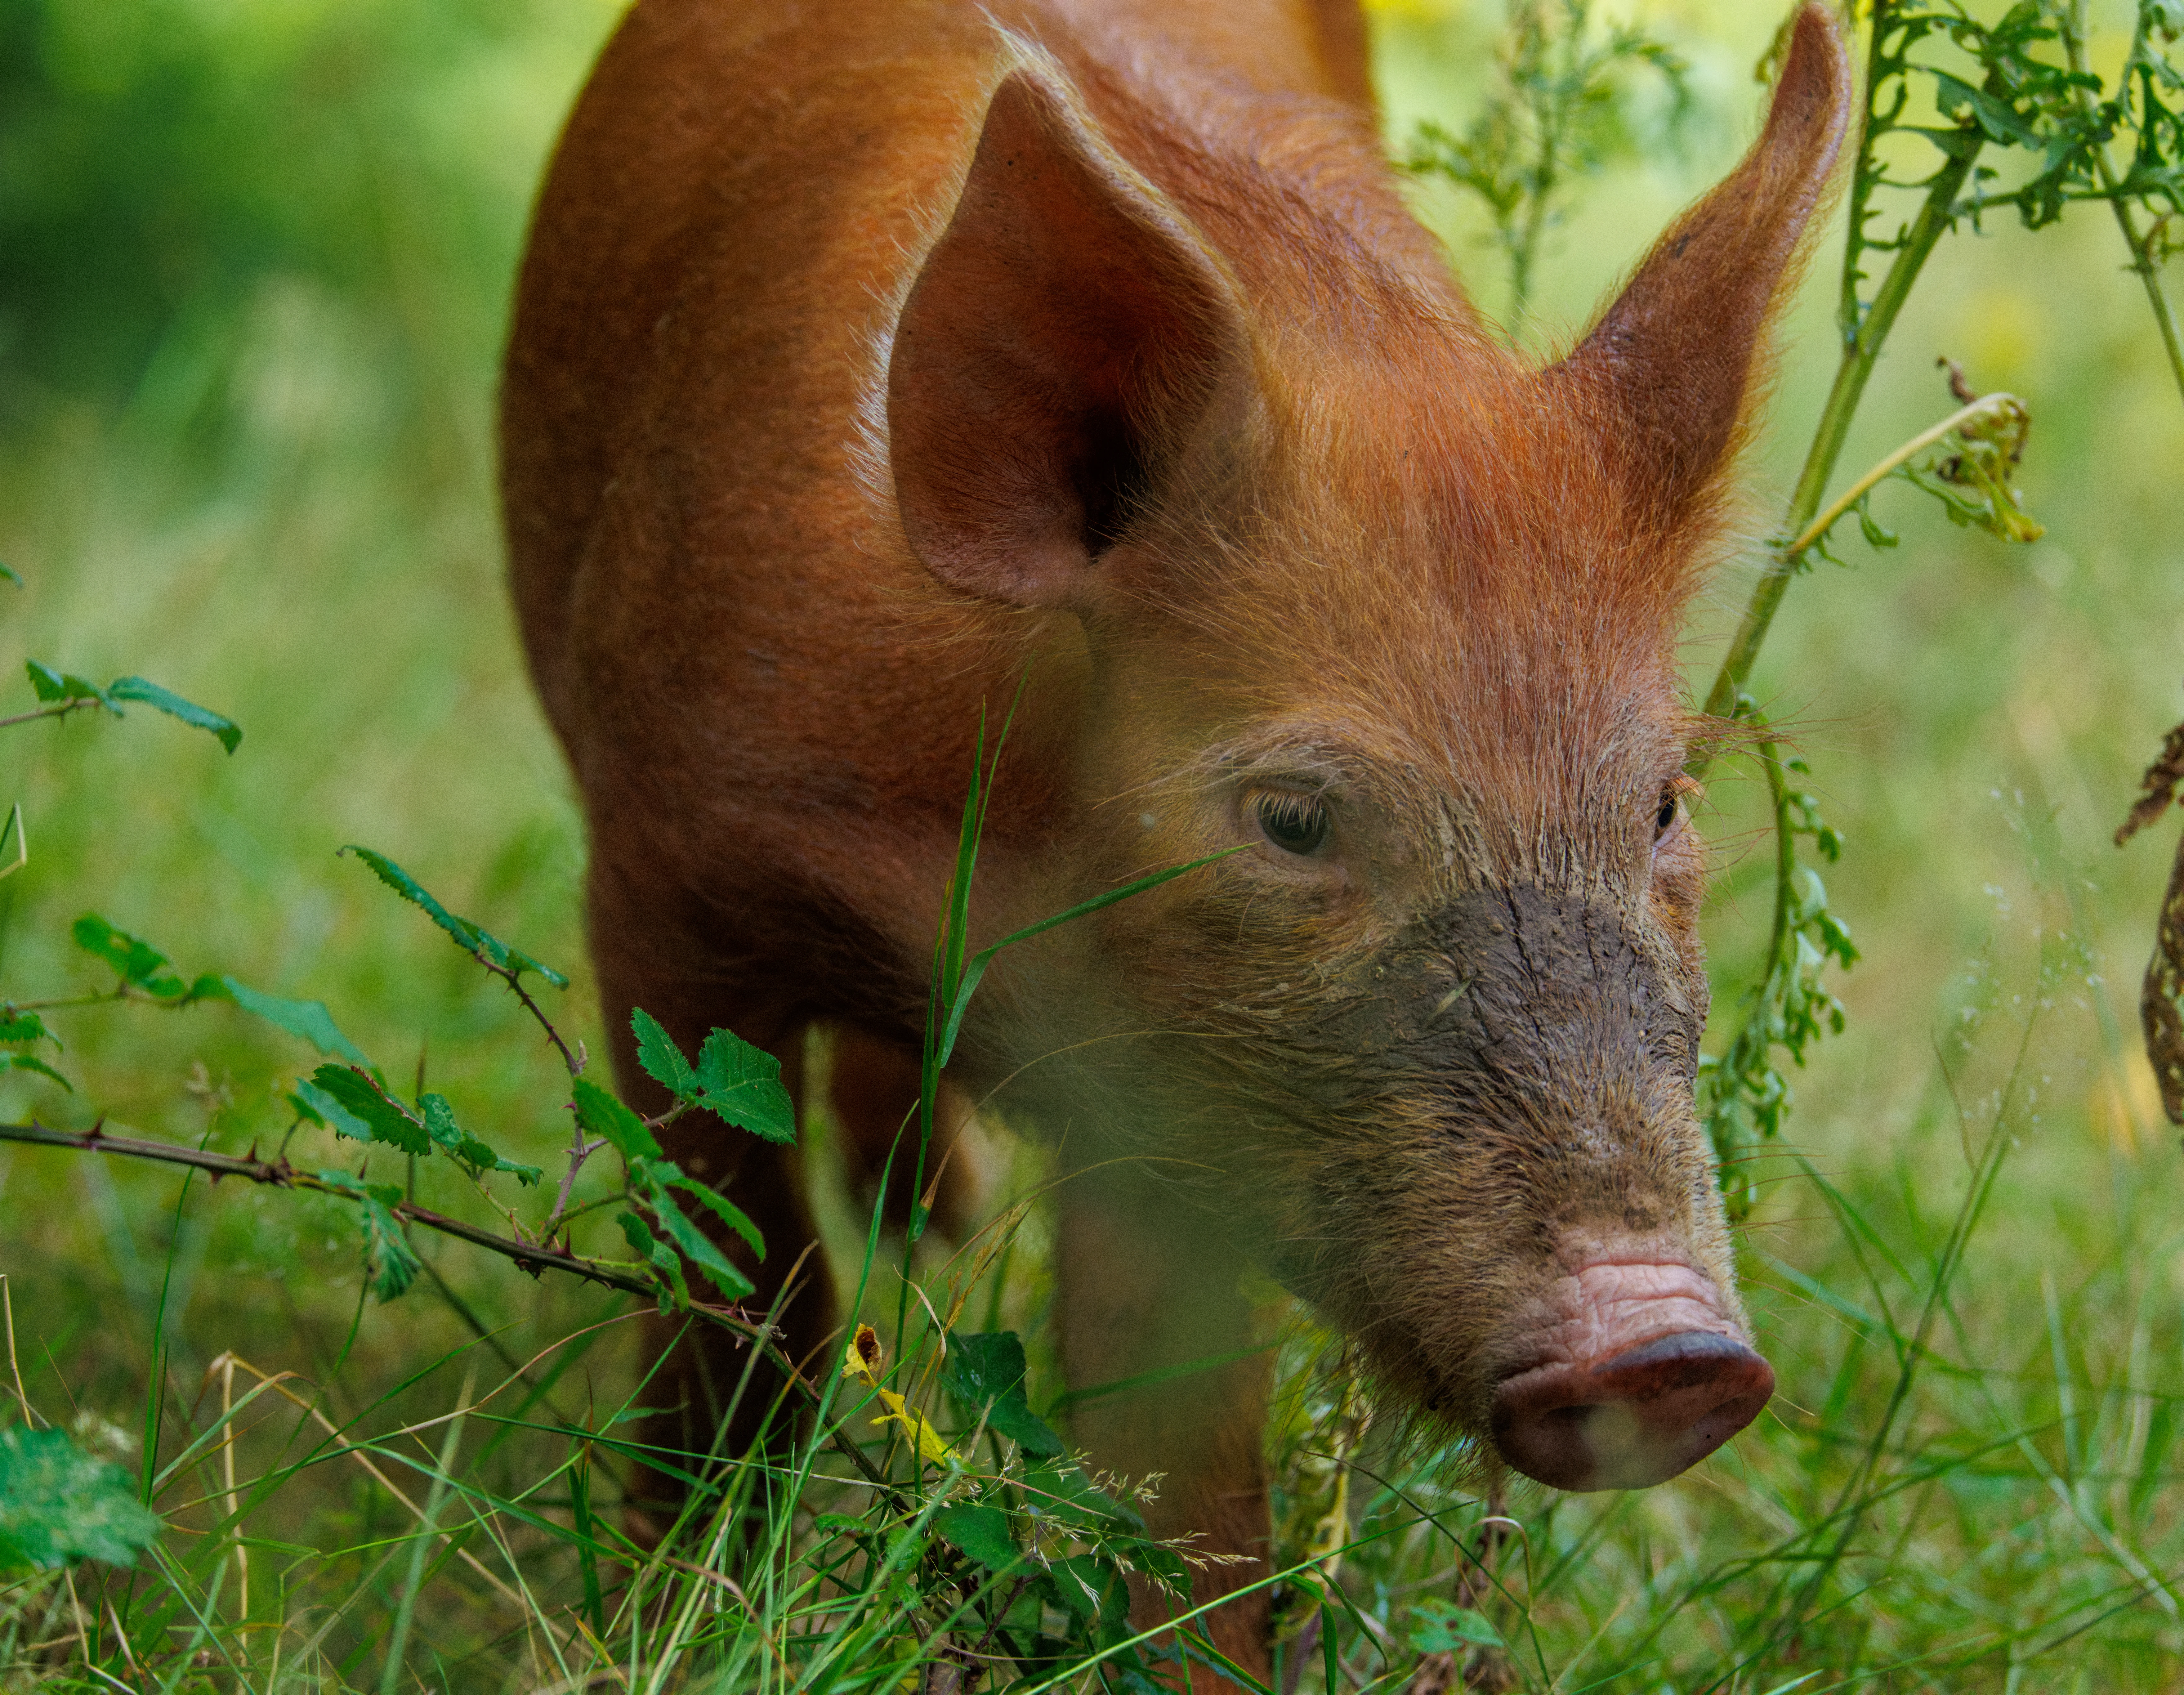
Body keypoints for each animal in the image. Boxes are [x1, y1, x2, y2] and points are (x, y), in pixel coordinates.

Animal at [500, 0, 1849, 1679]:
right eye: (1292, 816)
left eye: (1661, 802)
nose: (1665, 1343)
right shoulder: (660, 879)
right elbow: (743, 1289)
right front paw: (668, 1604)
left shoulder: (1179, 1121)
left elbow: (1181, 1468)